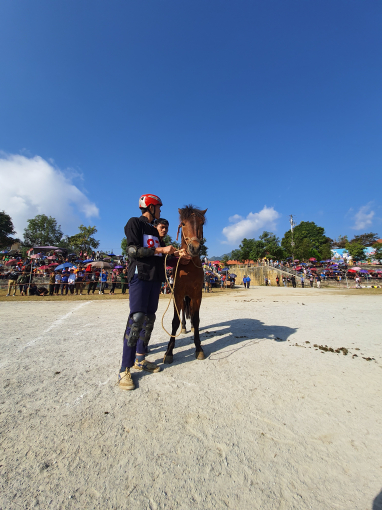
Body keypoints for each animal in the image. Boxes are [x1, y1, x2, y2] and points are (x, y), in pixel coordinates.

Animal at [163, 205, 207, 364]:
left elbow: (196, 318)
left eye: (202, 223)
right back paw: (183, 327)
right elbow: (175, 321)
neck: (188, 266)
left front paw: (199, 348)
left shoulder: (197, 295)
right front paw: (169, 352)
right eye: (183, 224)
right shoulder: (178, 294)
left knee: (193, 314)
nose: (194, 248)